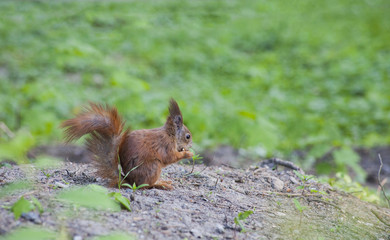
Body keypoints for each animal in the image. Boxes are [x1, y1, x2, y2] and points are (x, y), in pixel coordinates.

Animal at [61, 99, 193, 189]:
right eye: (188, 136)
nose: (191, 145)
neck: (171, 135)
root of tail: (129, 180)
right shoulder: (166, 145)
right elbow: (169, 157)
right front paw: (188, 154)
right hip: (153, 167)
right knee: (144, 185)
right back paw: (160, 184)